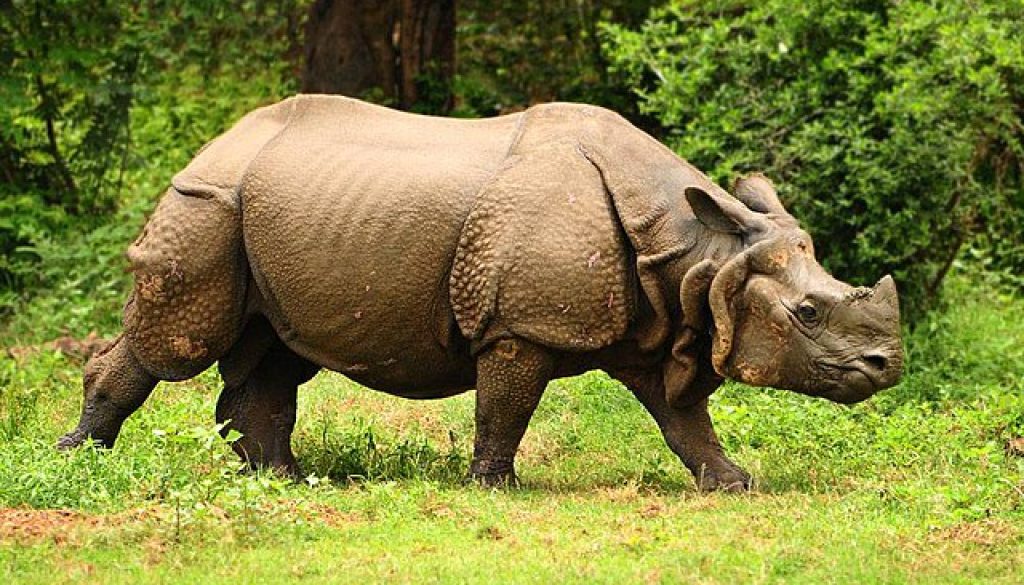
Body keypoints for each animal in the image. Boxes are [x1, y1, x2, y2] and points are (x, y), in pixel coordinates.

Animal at [59, 95, 903, 491]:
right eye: (808, 312)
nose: (888, 365)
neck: (698, 251)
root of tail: (217, 141)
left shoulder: (657, 324)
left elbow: (684, 420)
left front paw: (735, 484)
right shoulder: (520, 324)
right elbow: (506, 405)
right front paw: (497, 486)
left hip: (265, 210)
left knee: (274, 351)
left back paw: (283, 479)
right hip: (207, 202)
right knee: (177, 342)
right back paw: (81, 460)